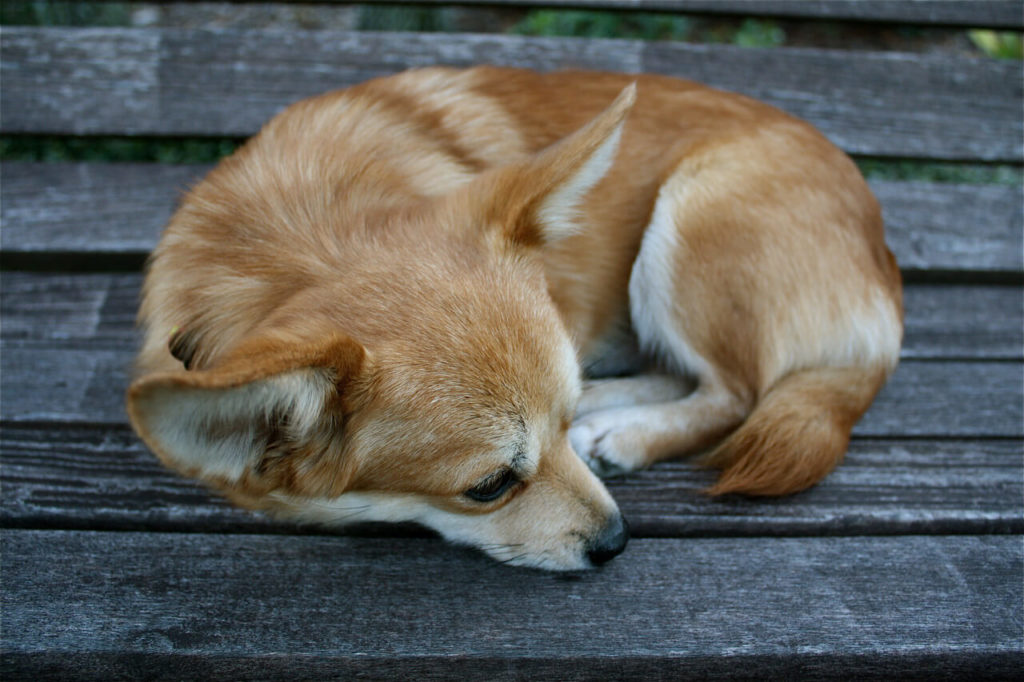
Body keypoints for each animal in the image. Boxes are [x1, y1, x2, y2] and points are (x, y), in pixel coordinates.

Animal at [123, 67, 901, 569]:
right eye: (489, 488)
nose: (618, 542)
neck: (292, 234)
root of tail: (886, 274)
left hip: (686, 223)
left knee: (735, 391)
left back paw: (625, 431)